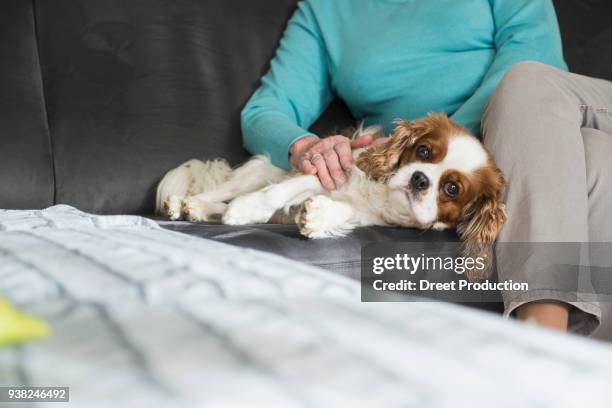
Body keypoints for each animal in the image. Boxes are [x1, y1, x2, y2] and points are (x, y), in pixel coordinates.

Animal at [157, 114, 506, 280]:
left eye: (452, 189)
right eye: (422, 151)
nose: (420, 178)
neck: (383, 196)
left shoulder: (372, 215)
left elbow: (346, 213)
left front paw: (318, 216)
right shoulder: (329, 168)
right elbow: (278, 192)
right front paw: (246, 209)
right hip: (259, 172)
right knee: (225, 191)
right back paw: (188, 204)